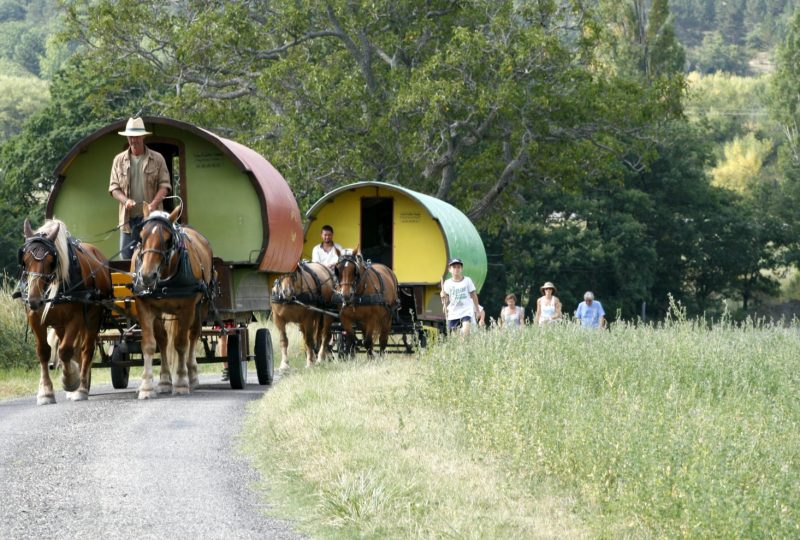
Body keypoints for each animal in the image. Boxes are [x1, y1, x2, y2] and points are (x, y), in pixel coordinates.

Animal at [18, 217, 112, 402]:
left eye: (50, 261)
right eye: (25, 259)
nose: (34, 300)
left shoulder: (76, 318)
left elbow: (65, 350)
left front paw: (70, 381)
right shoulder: (35, 318)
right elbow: (44, 352)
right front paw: (46, 392)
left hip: (92, 319)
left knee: (86, 351)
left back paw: (81, 388)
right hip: (60, 324)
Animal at [134, 205, 216, 398]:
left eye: (167, 240)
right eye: (141, 236)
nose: (147, 276)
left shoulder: (187, 308)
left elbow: (180, 344)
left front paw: (181, 382)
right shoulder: (145, 306)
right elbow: (150, 345)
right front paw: (147, 386)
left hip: (201, 306)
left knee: (193, 336)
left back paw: (191, 375)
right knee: (163, 341)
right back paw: (165, 380)